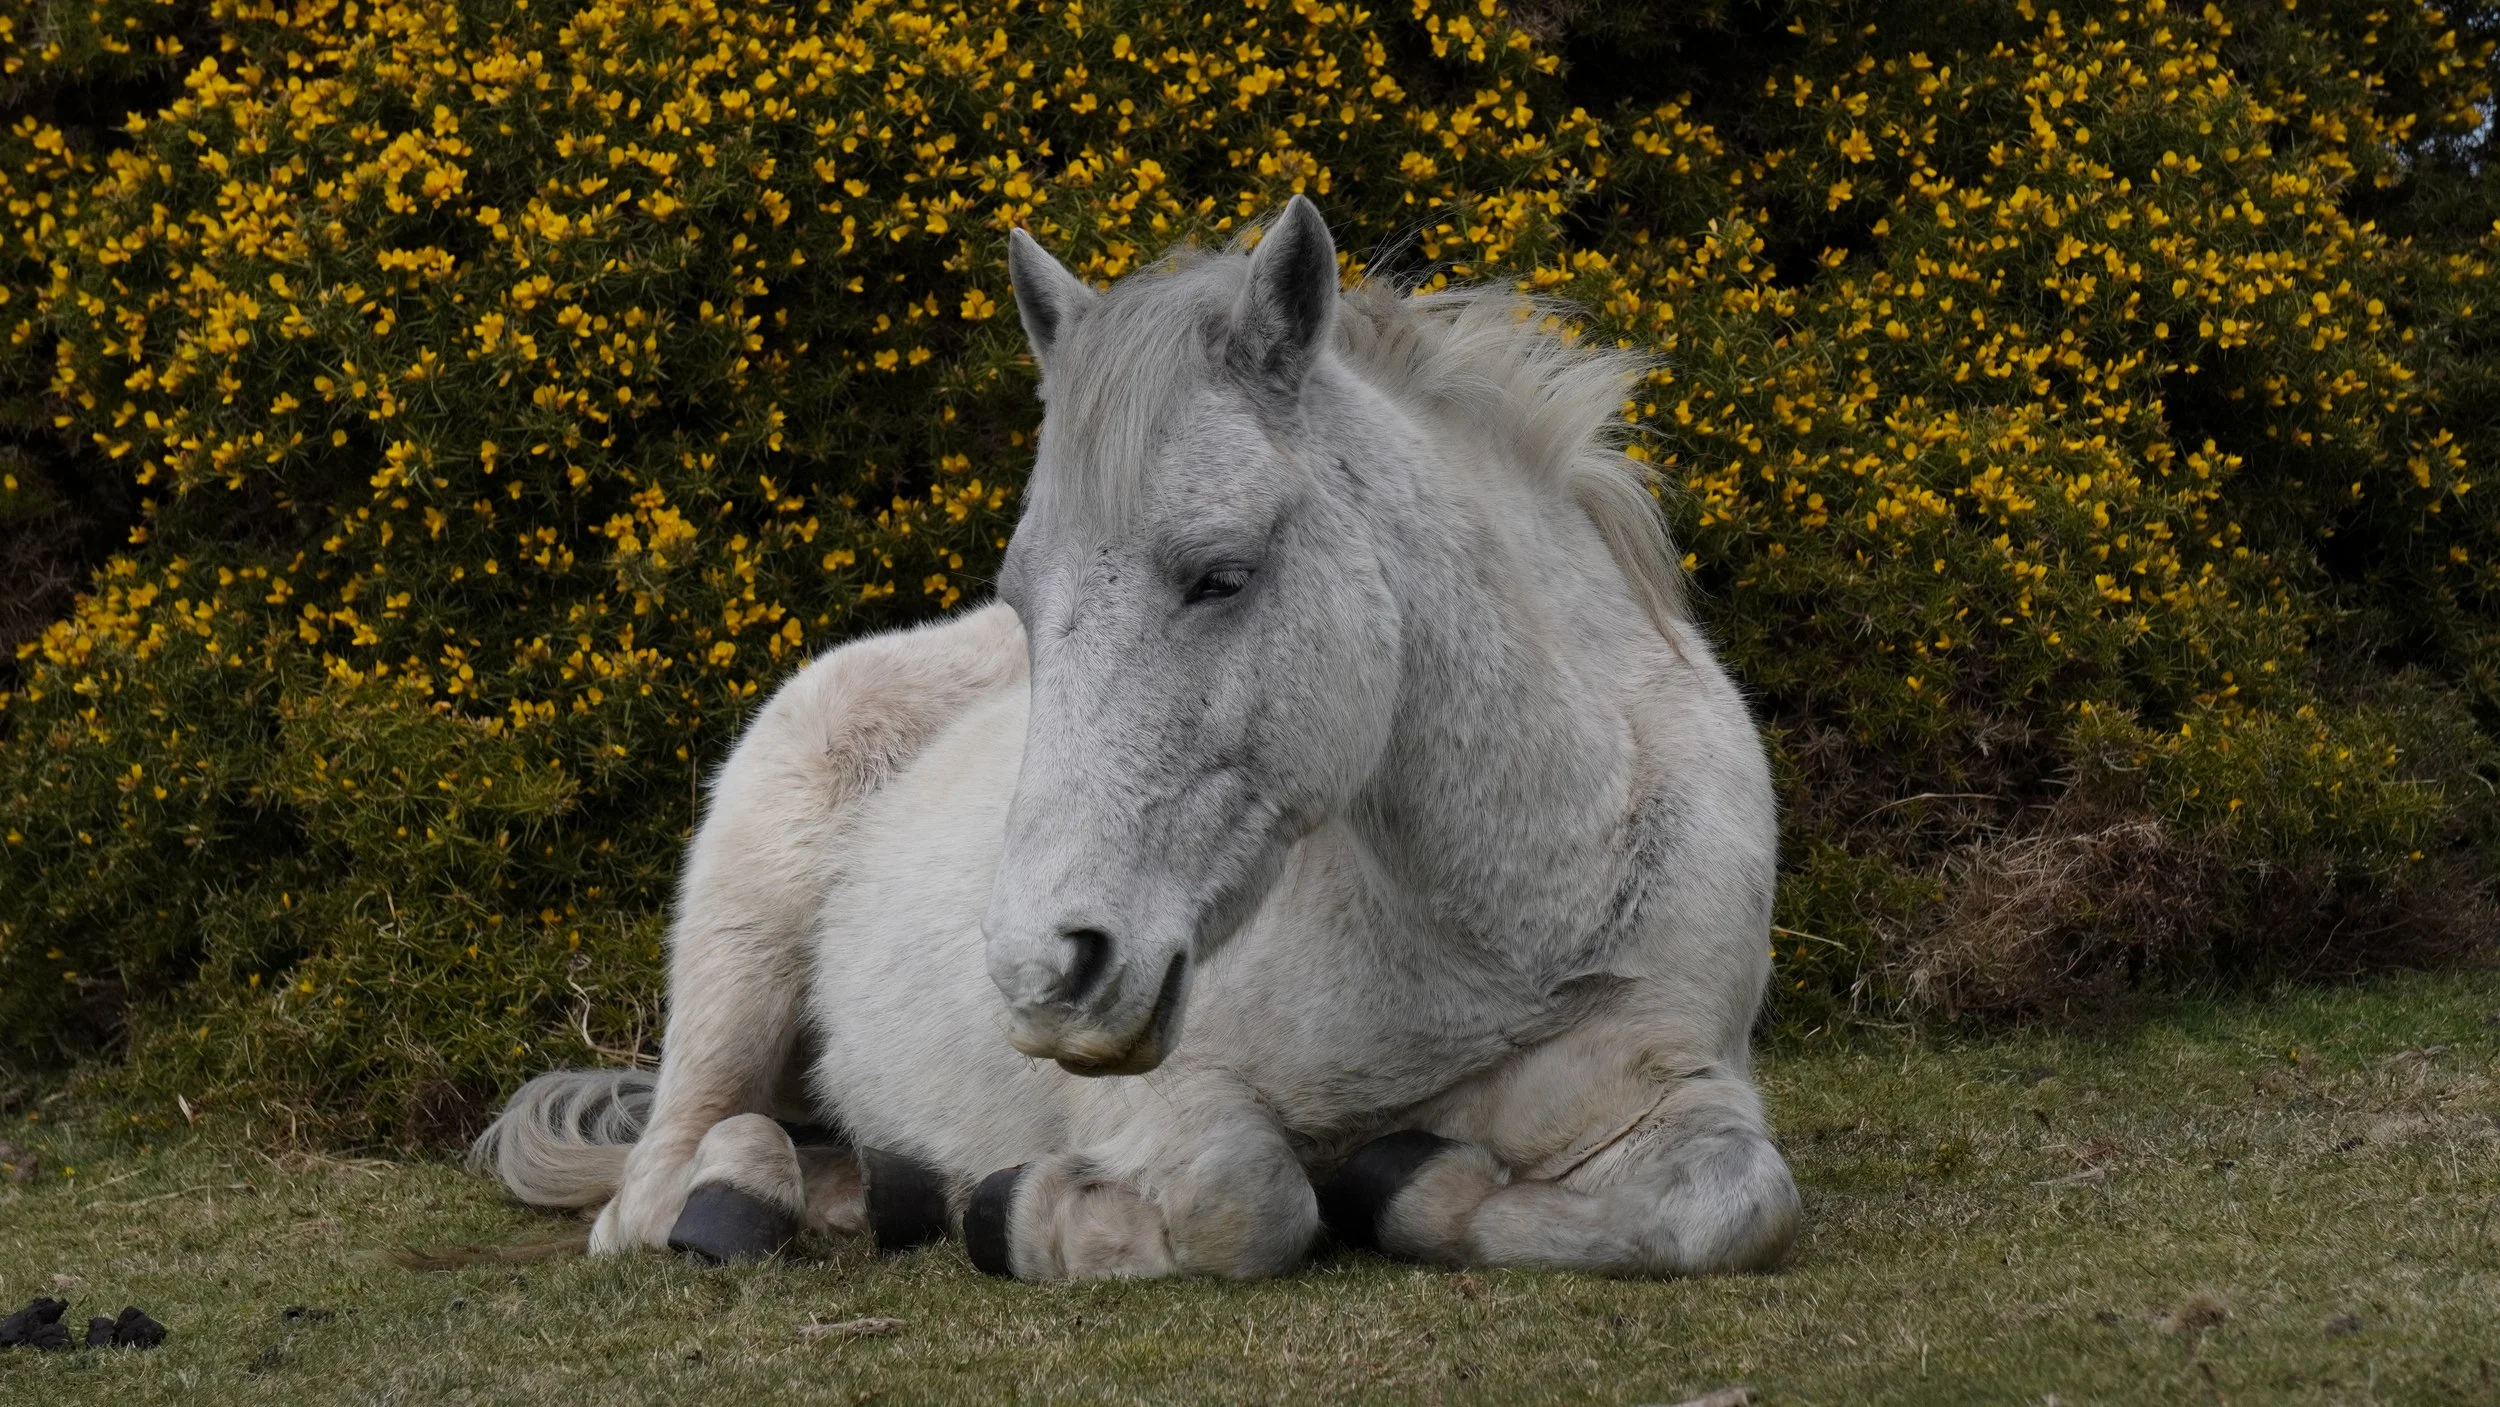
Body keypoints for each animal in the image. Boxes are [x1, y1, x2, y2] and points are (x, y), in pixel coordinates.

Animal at [471, 197, 1799, 1280]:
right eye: (1022, 591)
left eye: (1221, 576)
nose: (1042, 973)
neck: (1500, 932)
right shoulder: (1156, 1104)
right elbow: (1249, 1199)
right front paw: (1022, 1215)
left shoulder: (1672, 1088)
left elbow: (1730, 1205)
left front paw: (1410, 1181)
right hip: (736, 975)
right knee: (664, 1180)